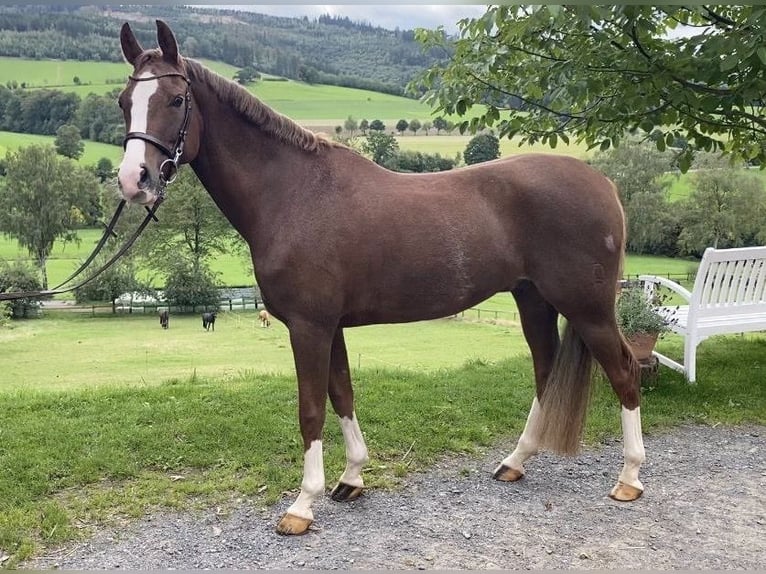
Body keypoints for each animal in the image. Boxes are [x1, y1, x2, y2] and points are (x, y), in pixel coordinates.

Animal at [117, 21, 644, 536]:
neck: (294, 194)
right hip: (533, 298)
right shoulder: (329, 327)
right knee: (545, 369)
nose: (133, 180)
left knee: (623, 370)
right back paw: (515, 462)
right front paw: (351, 479)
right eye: (125, 102)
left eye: (176, 100)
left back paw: (629, 479)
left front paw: (302, 506)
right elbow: (342, 394)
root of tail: (604, 184)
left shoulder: (309, 327)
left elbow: (311, 408)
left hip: (588, 306)